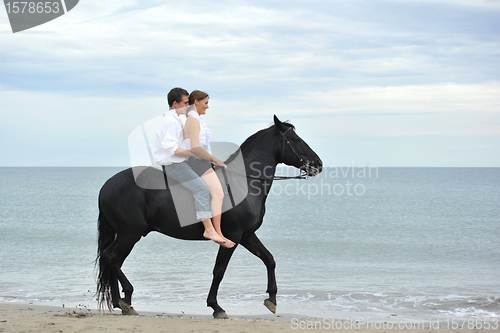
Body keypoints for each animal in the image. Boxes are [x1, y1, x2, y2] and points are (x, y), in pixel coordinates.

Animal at [95, 115, 322, 318]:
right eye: (296, 139)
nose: (318, 164)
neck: (243, 182)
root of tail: (107, 185)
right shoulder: (233, 236)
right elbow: (219, 271)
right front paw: (216, 307)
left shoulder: (247, 235)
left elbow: (269, 259)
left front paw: (272, 299)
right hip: (129, 234)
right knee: (111, 258)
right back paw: (126, 298)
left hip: (127, 235)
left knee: (111, 260)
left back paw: (120, 301)